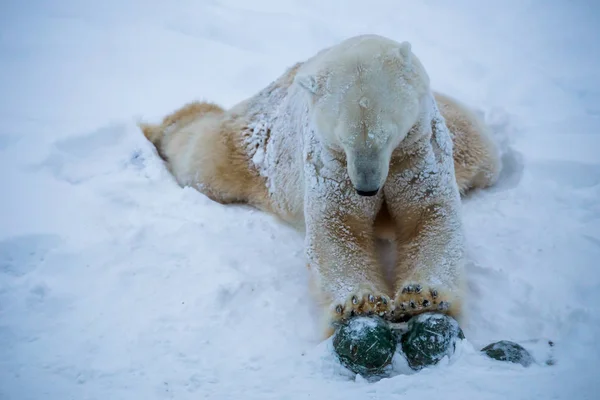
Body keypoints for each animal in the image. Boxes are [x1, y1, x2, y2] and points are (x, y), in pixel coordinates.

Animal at [139, 34, 502, 336]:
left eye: (385, 135)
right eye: (346, 139)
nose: (367, 189)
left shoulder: (418, 145)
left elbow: (428, 213)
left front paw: (423, 298)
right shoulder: (327, 159)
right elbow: (338, 225)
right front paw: (361, 304)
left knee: (478, 148)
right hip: (254, 148)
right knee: (202, 154)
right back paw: (158, 128)